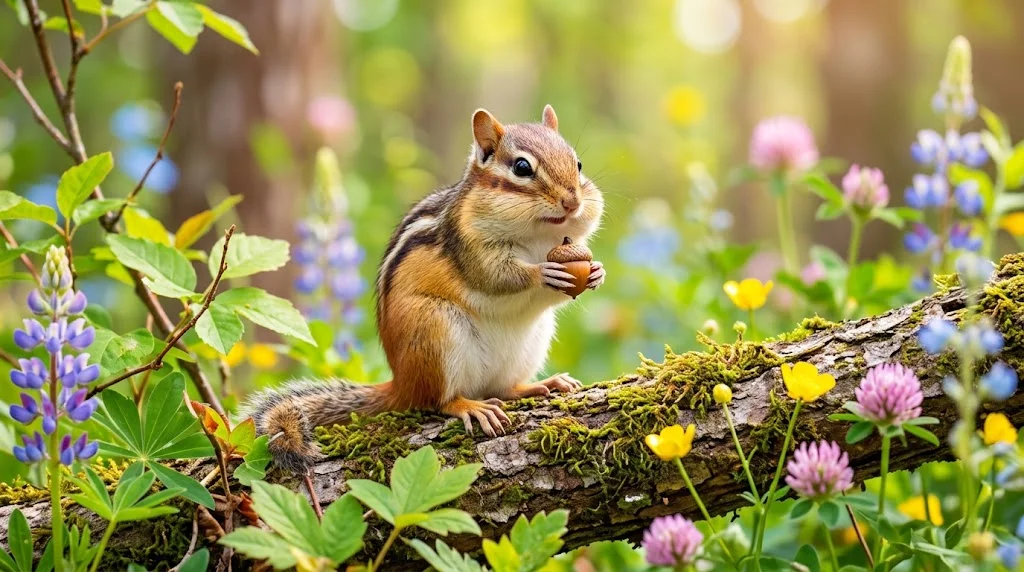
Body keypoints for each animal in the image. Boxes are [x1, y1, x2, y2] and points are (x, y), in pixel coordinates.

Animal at [244, 105, 605, 473]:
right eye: (521, 168)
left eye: (577, 163)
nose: (572, 202)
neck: (539, 235)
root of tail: (401, 384)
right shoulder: (468, 244)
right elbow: (494, 276)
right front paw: (542, 272)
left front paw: (596, 272)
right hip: (434, 329)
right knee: (437, 401)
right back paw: (469, 406)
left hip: (531, 343)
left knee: (504, 388)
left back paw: (543, 383)